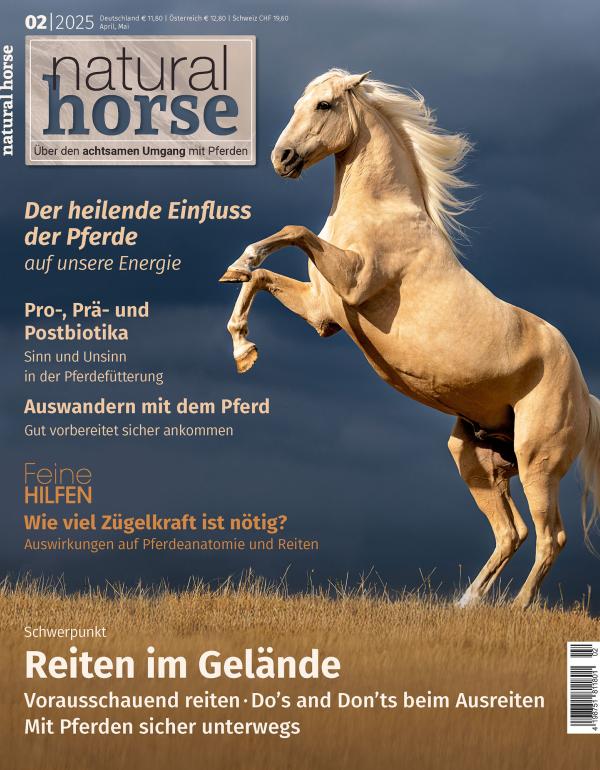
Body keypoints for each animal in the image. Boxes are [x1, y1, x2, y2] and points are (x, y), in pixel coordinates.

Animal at [219, 69, 600, 607]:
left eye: (324, 105)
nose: (283, 158)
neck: (382, 212)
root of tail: (586, 394)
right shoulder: (322, 313)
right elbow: (259, 279)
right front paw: (243, 345)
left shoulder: (353, 281)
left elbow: (293, 232)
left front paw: (245, 263)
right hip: (474, 457)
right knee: (512, 533)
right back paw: (467, 605)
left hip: (536, 463)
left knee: (551, 537)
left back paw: (518, 609)